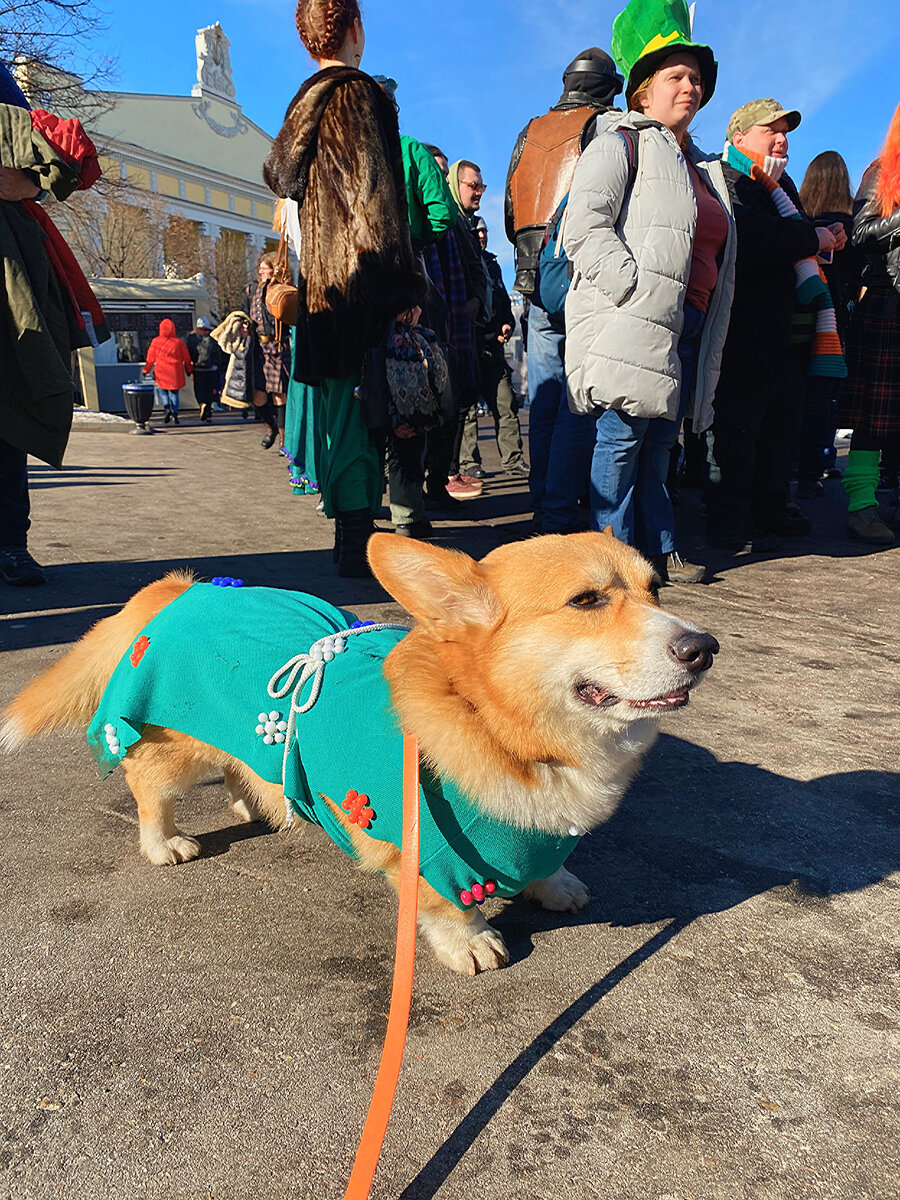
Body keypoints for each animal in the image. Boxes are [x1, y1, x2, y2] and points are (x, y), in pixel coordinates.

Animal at [0, 535, 720, 974]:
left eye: (657, 589)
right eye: (586, 601)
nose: (704, 648)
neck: (494, 723)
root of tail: (179, 589)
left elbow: (548, 866)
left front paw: (558, 886)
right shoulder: (428, 853)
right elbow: (448, 908)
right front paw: (473, 944)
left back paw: (256, 800)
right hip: (175, 746)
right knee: (149, 787)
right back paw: (163, 842)